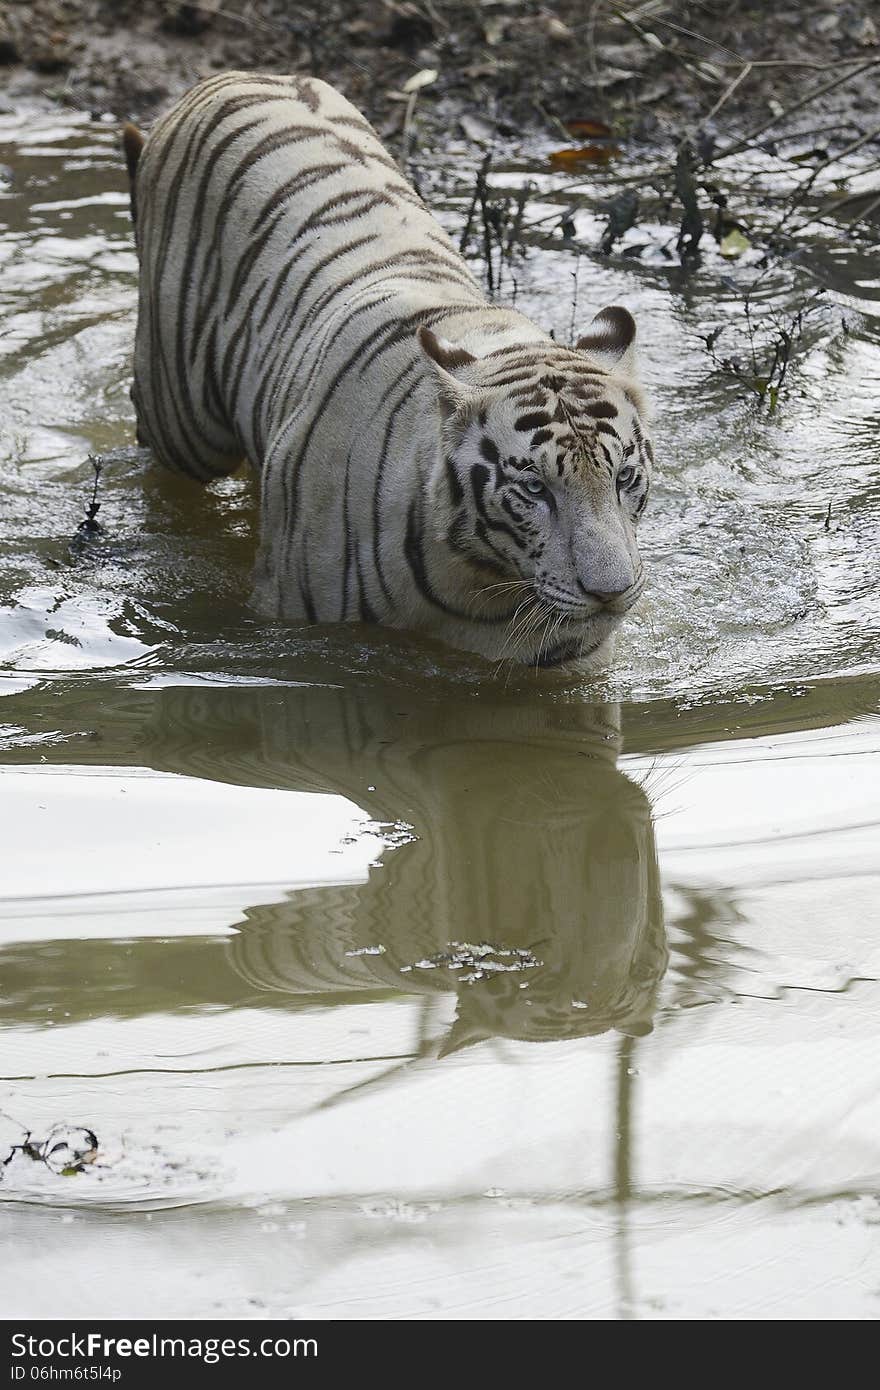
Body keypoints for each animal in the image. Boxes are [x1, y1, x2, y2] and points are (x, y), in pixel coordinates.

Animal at [121, 70, 653, 667]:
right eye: (535, 489)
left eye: (625, 477)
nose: (610, 593)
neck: (480, 588)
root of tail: (237, 74)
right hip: (183, 424)